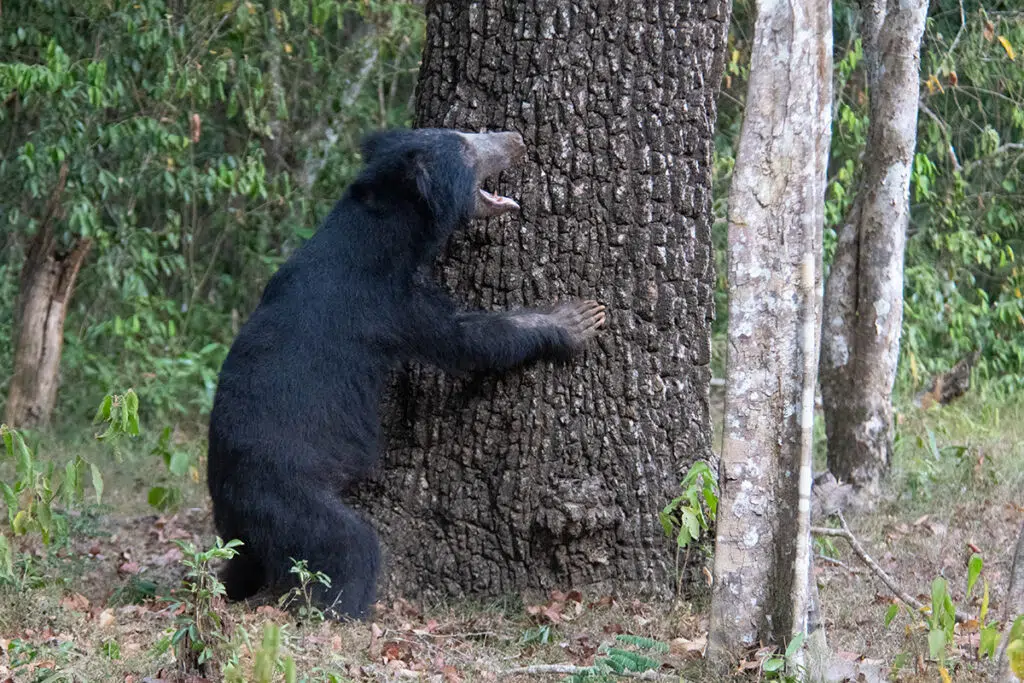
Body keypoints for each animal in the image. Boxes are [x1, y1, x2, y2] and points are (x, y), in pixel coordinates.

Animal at [206, 127, 606, 619]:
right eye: (468, 146)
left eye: (472, 133)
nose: (515, 139)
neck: (386, 228)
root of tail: (225, 497)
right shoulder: (388, 303)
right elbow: (468, 338)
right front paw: (575, 319)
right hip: (285, 492)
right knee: (347, 544)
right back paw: (345, 609)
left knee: (241, 568)